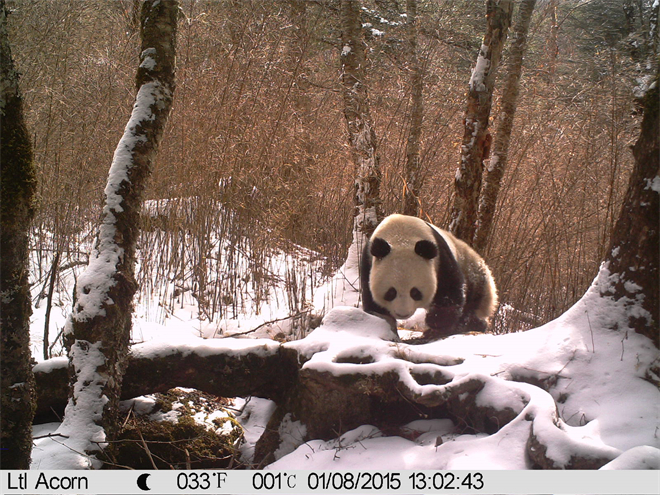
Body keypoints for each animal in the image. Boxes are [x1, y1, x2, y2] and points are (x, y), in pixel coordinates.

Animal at [360, 213, 496, 340]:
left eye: (415, 292)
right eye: (391, 292)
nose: (402, 314)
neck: (401, 236)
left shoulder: (441, 259)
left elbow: (449, 293)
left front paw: (435, 321)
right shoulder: (368, 261)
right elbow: (372, 301)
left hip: (474, 274)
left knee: (472, 305)